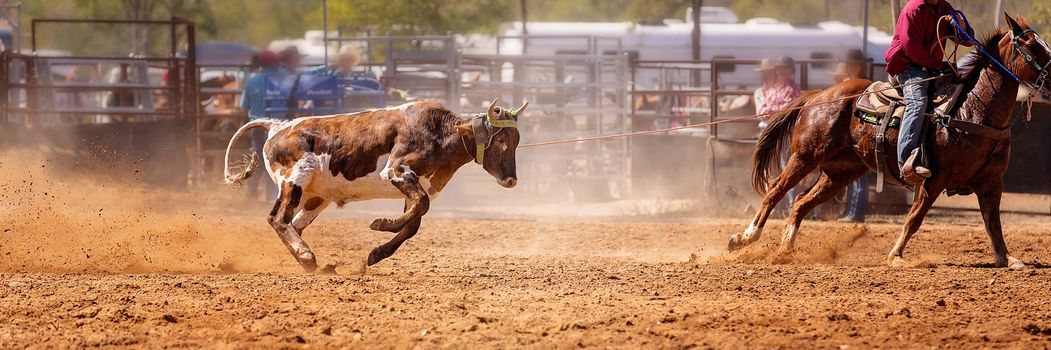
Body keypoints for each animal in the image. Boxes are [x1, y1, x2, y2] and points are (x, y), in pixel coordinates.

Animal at [225, 98, 529, 269]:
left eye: (516, 141)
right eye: (501, 140)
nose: (511, 180)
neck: (440, 131)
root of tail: (277, 126)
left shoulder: (414, 184)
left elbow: (414, 221)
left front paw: (376, 253)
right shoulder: (396, 171)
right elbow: (421, 205)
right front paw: (381, 223)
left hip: (315, 197)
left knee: (294, 224)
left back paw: (304, 258)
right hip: (294, 180)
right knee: (278, 219)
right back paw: (306, 255)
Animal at [731, 14, 1051, 266]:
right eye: (1032, 46)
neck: (972, 110)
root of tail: (816, 96)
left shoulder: (991, 184)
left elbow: (994, 223)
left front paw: (1007, 258)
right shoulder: (933, 180)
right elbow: (915, 218)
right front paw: (895, 255)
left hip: (840, 172)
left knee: (799, 202)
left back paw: (785, 251)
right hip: (805, 156)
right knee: (775, 190)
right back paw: (745, 237)